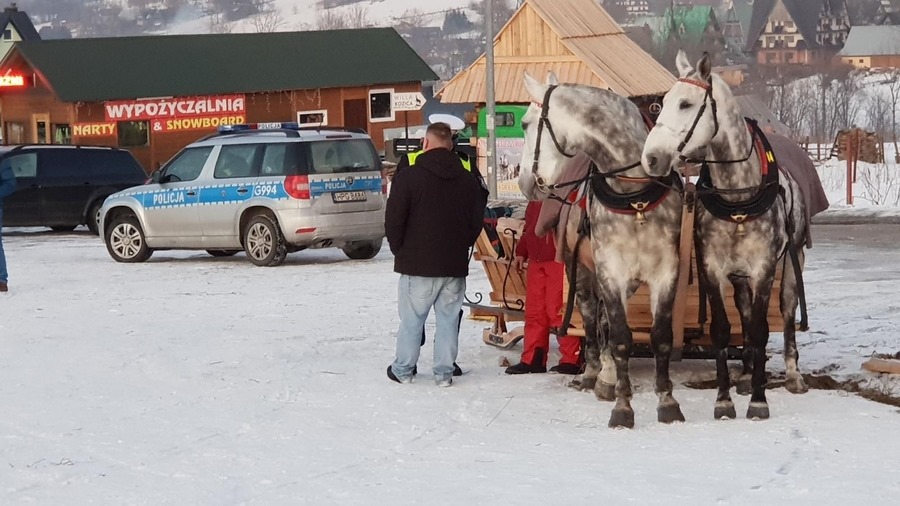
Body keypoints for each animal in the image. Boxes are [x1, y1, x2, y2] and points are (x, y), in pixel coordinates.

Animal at [516, 71, 684, 426]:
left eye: (524, 123)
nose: (524, 182)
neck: (634, 196)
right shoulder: (610, 270)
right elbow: (619, 338)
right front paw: (622, 406)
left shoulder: (665, 272)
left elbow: (661, 337)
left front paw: (667, 401)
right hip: (581, 270)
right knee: (593, 319)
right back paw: (595, 372)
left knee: (604, 319)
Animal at [644, 51, 812, 422]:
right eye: (662, 103)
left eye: (686, 104)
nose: (651, 158)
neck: (738, 197)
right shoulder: (712, 268)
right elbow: (723, 330)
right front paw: (723, 400)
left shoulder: (764, 268)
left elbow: (763, 329)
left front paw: (760, 402)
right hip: (739, 276)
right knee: (745, 314)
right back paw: (748, 375)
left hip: (791, 260)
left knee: (786, 310)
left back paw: (792, 374)